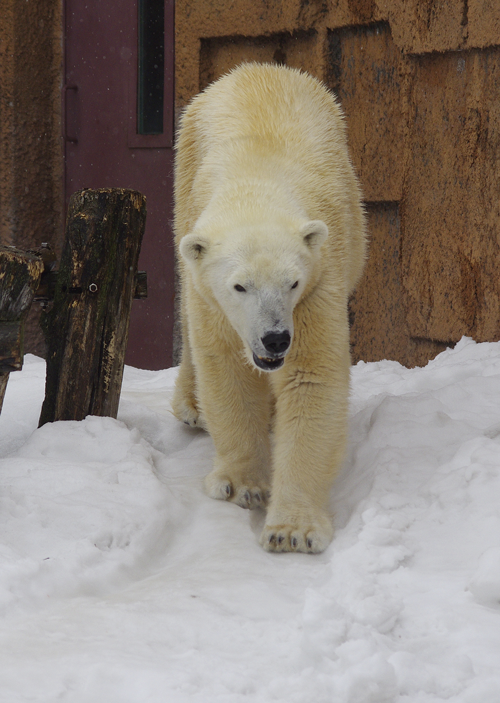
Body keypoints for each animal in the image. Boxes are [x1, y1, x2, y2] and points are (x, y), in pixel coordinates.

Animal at [173, 63, 368, 552]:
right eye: (239, 286)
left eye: (291, 282)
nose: (275, 338)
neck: (254, 183)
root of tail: (257, 67)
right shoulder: (211, 295)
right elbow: (227, 368)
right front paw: (244, 485)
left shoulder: (320, 281)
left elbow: (310, 377)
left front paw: (292, 529)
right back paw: (190, 404)